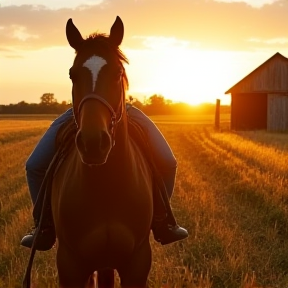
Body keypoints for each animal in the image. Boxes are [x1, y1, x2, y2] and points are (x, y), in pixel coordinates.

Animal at [50, 16, 154, 288]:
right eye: (72, 74)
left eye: (117, 73)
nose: (93, 142)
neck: (107, 186)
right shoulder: (70, 265)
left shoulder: (137, 263)